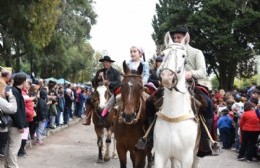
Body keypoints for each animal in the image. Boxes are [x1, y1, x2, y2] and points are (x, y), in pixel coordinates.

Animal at [154, 32, 199, 167]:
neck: (173, 118)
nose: (166, 77)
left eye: (183, 56)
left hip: (196, 155)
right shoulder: (159, 156)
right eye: (163, 54)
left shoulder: (187, 158)